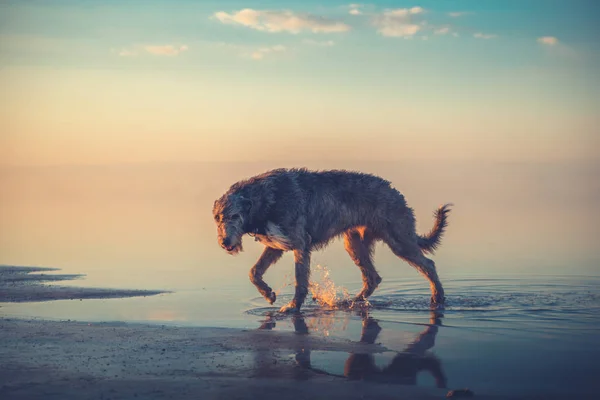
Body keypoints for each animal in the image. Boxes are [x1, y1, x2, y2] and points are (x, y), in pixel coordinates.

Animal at [211, 168, 450, 312]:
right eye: (217, 218)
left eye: (235, 216)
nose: (225, 243)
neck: (264, 199)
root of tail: (396, 192)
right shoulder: (276, 245)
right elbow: (254, 271)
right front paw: (268, 294)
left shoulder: (300, 244)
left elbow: (300, 280)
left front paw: (293, 307)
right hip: (353, 243)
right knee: (372, 277)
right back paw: (352, 302)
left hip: (399, 238)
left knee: (428, 264)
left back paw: (437, 297)